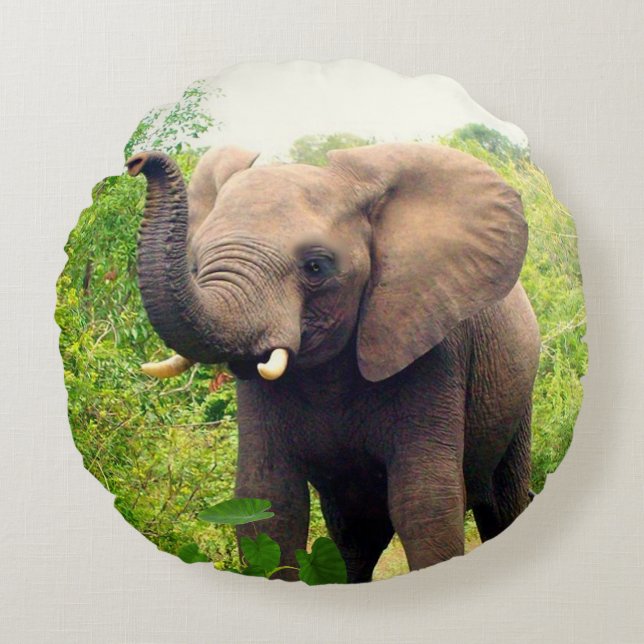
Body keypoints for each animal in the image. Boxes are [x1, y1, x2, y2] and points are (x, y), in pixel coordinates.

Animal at [126, 141, 541, 583]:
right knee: (356, 537)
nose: (137, 161)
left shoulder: (436, 350)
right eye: (194, 265)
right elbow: (267, 501)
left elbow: (424, 500)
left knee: (502, 507)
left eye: (316, 267)